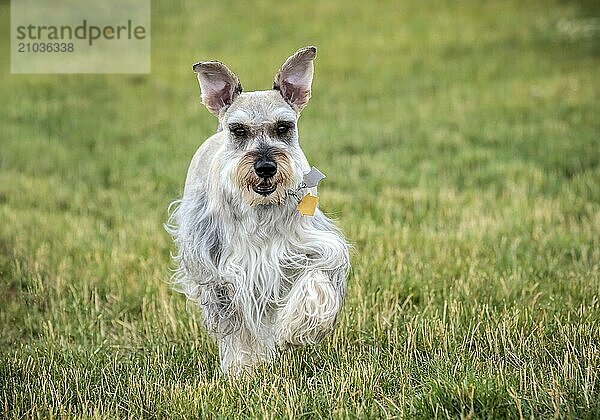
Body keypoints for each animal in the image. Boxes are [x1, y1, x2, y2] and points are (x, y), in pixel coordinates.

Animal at [166, 46, 350, 374]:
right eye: (238, 130)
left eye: (283, 127)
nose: (265, 167)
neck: (263, 209)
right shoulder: (224, 274)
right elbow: (238, 327)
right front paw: (244, 369)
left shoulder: (314, 246)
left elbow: (317, 279)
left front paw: (296, 329)